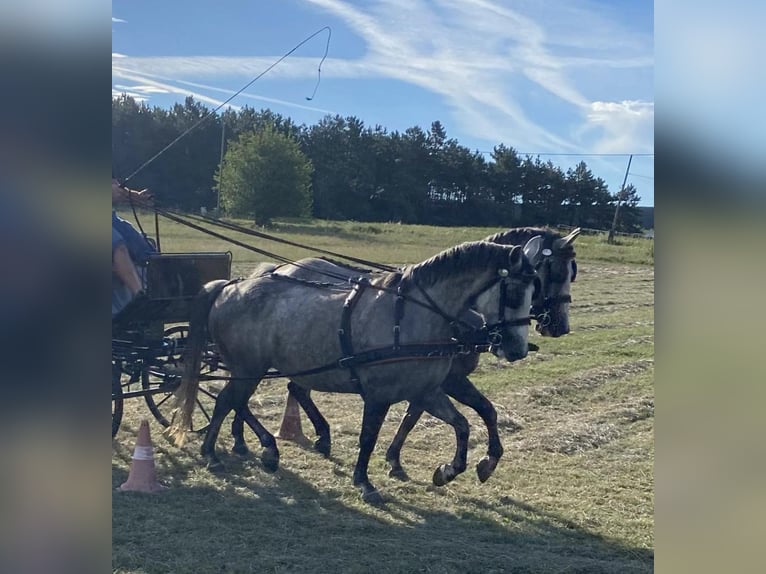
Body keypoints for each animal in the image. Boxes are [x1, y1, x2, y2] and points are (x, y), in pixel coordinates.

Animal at [170, 240, 541, 503]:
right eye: (515, 291)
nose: (517, 349)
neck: (416, 316)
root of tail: (231, 285)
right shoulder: (379, 394)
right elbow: (368, 437)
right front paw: (364, 482)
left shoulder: (427, 389)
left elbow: (466, 422)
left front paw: (457, 469)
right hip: (248, 366)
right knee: (226, 401)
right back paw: (216, 454)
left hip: (254, 368)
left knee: (240, 400)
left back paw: (261, 448)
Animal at [228, 227, 580, 483]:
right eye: (555, 273)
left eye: (542, 283)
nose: (559, 326)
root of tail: (279, 268)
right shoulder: (446, 379)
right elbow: (418, 417)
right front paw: (395, 462)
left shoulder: (436, 381)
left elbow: (482, 411)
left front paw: (481, 462)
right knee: (251, 391)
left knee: (285, 389)